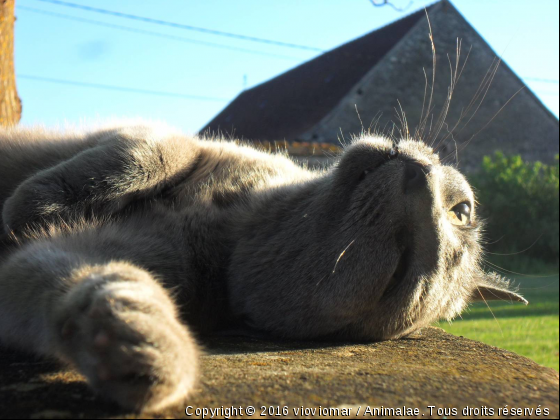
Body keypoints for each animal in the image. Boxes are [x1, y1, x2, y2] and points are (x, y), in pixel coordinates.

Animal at [0, 123, 524, 412]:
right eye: (462, 210)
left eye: (400, 267)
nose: (418, 173)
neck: (230, 221)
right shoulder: (179, 142)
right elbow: (151, 151)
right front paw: (35, 204)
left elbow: (75, 279)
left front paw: (141, 342)